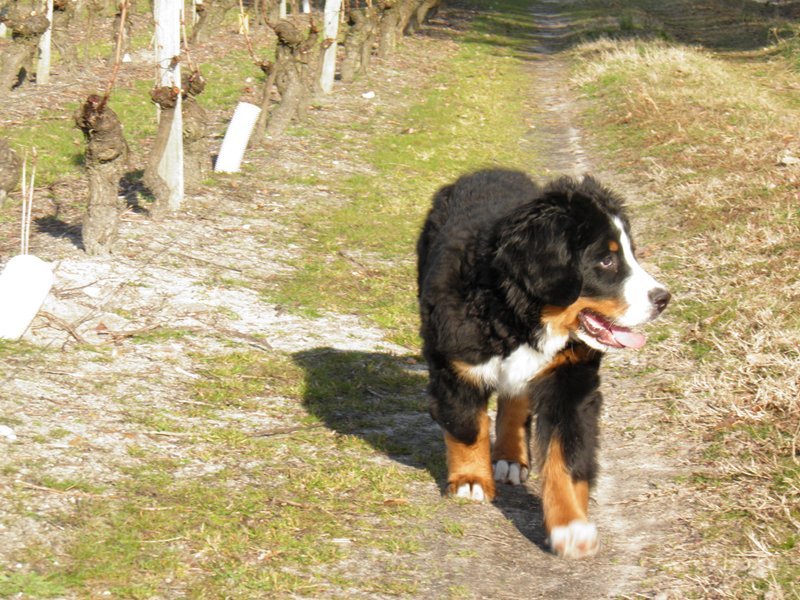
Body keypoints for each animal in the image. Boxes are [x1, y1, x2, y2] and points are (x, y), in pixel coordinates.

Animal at [412, 168, 668, 556]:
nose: (663, 299)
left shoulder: (570, 380)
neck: (518, 317)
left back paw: (510, 457)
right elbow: (467, 425)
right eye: (606, 260)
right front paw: (471, 480)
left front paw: (571, 525)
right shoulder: (455, 361)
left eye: (632, 254)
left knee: (516, 400)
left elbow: (567, 455)